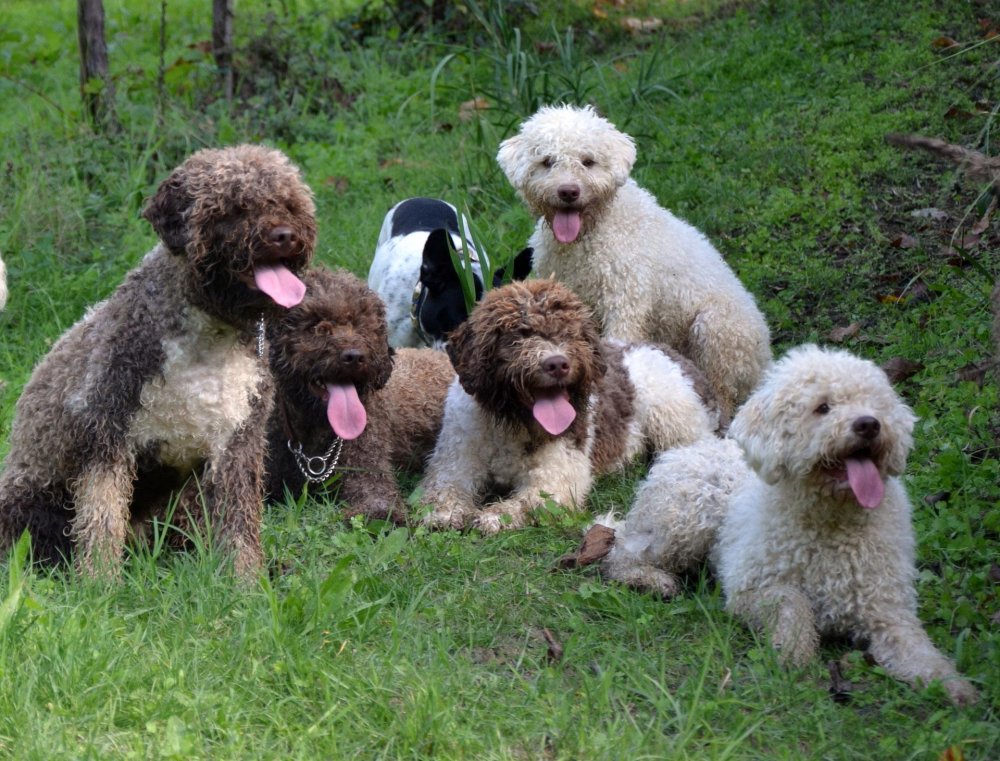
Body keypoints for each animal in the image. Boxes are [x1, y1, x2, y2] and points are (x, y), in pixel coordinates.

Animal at [600, 346, 976, 708]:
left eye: (876, 403)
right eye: (822, 407)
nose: (869, 424)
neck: (833, 522)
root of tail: (687, 449)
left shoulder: (889, 612)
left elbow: (920, 652)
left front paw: (954, 685)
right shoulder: (749, 590)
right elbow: (792, 601)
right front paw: (794, 650)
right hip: (685, 518)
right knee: (621, 554)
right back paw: (652, 579)